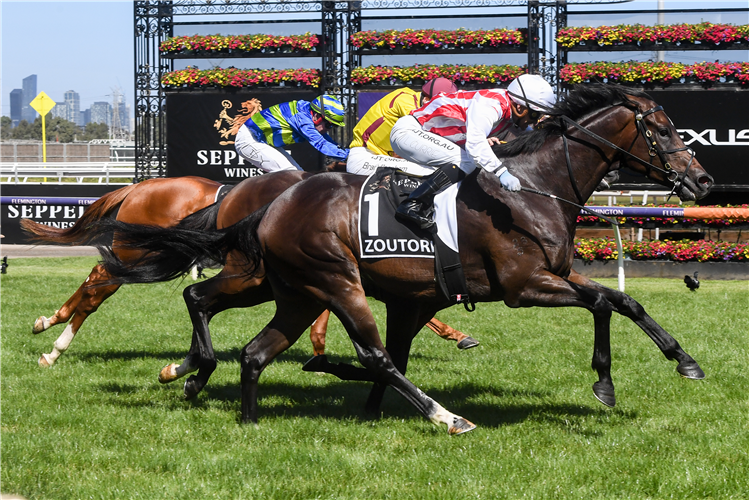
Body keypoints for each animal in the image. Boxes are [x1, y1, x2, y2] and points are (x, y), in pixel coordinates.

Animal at [95, 85, 712, 434]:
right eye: (661, 130)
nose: (703, 182)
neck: (535, 188)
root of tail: (269, 204)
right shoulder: (524, 284)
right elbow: (604, 302)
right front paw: (608, 382)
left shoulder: (549, 274)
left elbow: (623, 300)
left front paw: (680, 359)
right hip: (333, 281)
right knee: (373, 355)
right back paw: (446, 417)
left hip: (288, 289)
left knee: (239, 336)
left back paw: (220, 397)